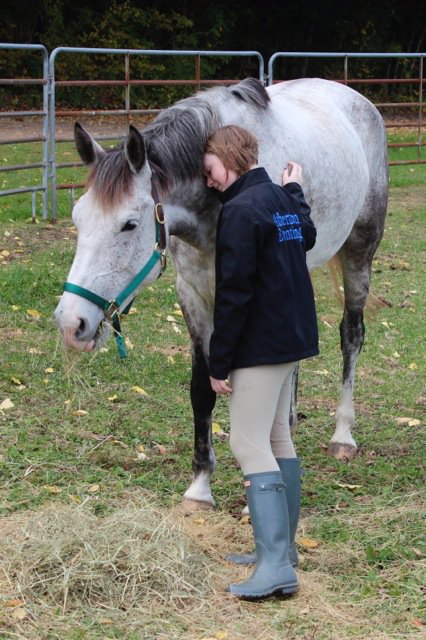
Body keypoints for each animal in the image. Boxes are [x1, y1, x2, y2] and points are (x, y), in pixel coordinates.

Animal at [54, 77, 388, 511]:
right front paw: (200, 487)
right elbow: (202, 390)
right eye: (77, 218)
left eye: (128, 224)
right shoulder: (194, 295)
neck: (218, 198)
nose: (71, 322)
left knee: (351, 336)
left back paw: (343, 434)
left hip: (360, 252)